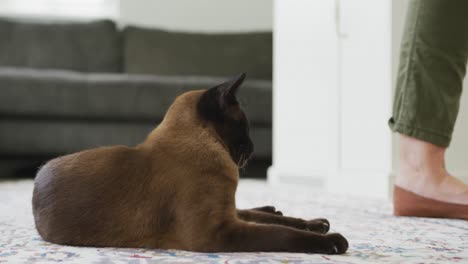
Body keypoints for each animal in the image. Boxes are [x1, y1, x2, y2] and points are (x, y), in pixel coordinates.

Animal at [32, 73, 348, 254]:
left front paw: (316, 224)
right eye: (245, 126)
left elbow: (284, 223)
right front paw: (333, 242)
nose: (254, 148)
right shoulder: (218, 232)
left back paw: (283, 210)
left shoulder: (225, 216)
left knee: (262, 212)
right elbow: (282, 234)